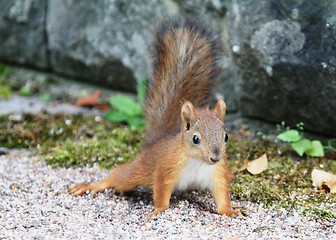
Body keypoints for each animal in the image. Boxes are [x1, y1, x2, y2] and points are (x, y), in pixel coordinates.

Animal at [69, 15, 239, 218]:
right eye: (196, 138)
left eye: (226, 136)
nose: (215, 157)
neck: (198, 162)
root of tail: (154, 143)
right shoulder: (166, 168)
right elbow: (161, 189)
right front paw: (159, 209)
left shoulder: (217, 174)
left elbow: (221, 194)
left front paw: (230, 211)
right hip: (138, 171)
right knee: (120, 176)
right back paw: (92, 185)